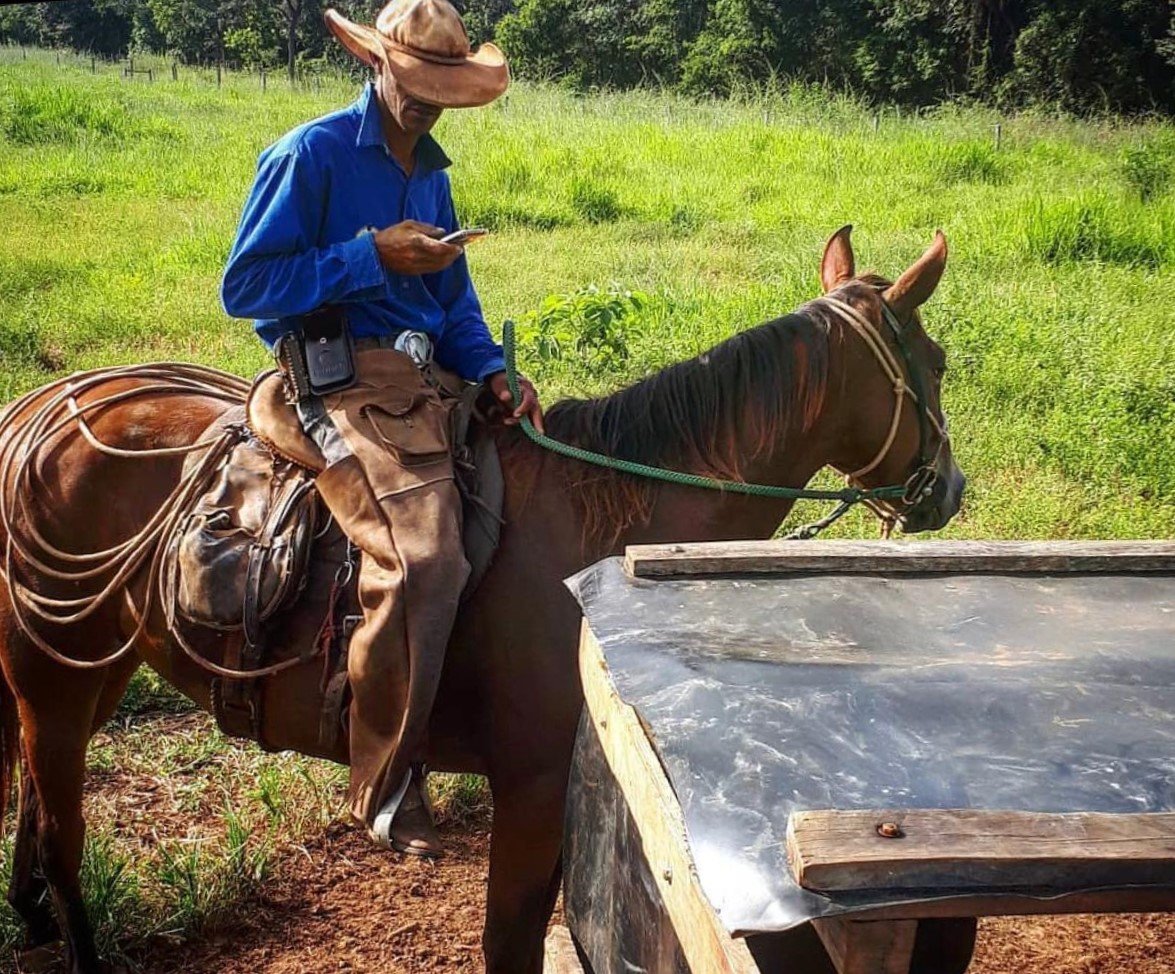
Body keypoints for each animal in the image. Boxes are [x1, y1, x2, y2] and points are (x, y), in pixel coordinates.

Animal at [0, 224, 963, 968]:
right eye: (939, 361)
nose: (948, 490)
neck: (607, 526)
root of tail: (34, 410)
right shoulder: (531, 786)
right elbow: (507, 943)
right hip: (54, 675)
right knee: (62, 835)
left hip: (99, 668)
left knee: (33, 807)